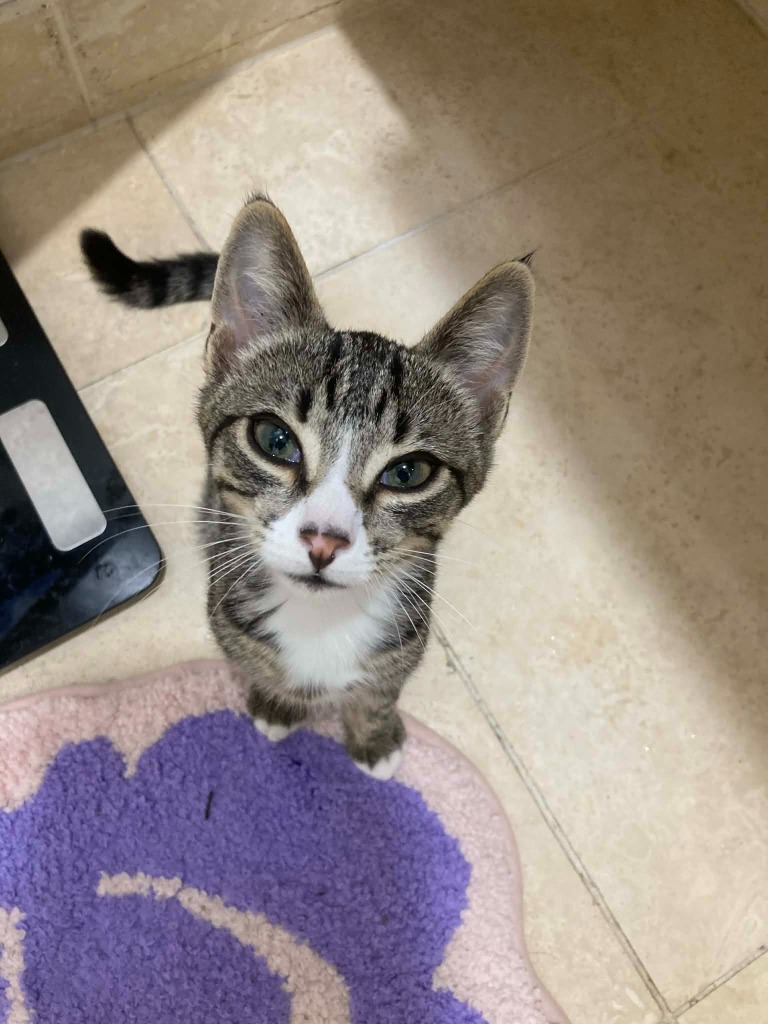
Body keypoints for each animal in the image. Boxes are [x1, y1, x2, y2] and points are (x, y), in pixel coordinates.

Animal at [80, 194, 534, 779]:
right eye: (275, 440)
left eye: (408, 473)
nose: (324, 541)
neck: (320, 621)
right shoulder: (228, 617)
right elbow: (259, 664)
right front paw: (278, 702)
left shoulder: (409, 632)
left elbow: (381, 688)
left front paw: (374, 733)